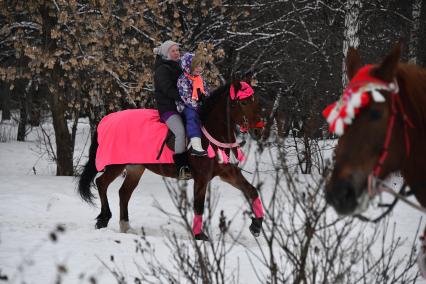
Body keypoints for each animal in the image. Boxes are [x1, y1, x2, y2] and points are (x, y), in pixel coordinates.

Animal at [77, 77, 266, 240]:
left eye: (256, 101)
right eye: (243, 102)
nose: (259, 129)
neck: (209, 133)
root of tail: (106, 120)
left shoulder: (227, 172)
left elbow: (251, 191)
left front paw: (256, 225)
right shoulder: (202, 177)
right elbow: (198, 206)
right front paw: (199, 236)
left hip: (135, 168)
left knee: (124, 193)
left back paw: (125, 226)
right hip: (116, 164)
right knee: (101, 183)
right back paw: (103, 218)